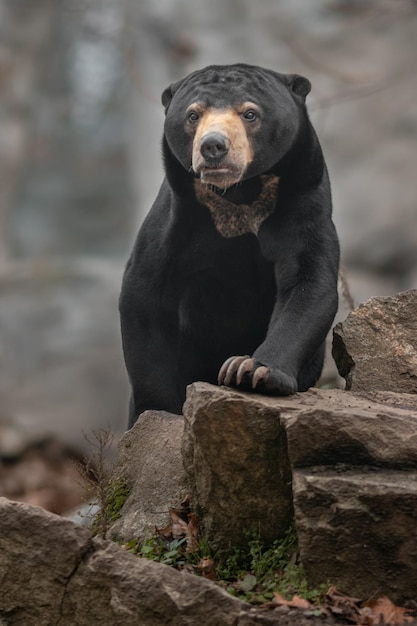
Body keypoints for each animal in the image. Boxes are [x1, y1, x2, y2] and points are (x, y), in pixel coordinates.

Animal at [118, 63, 340, 426]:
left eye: (250, 113)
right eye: (193, 115)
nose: (213, 146)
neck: (238, 196)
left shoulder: (305, 205)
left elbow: (308, 284)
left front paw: (250, 371)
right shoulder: (172, 223)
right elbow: (144, 296)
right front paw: (156, 411)